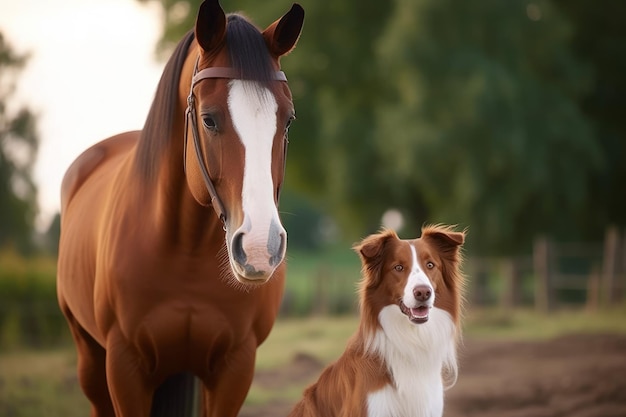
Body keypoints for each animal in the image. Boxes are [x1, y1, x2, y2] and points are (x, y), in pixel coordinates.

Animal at [54, 1, 304, 414]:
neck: (185, 249)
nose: (259, 249)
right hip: (89, 356)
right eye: (209, 119)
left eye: (287, 121)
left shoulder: (235, 368)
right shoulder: (124, 367)